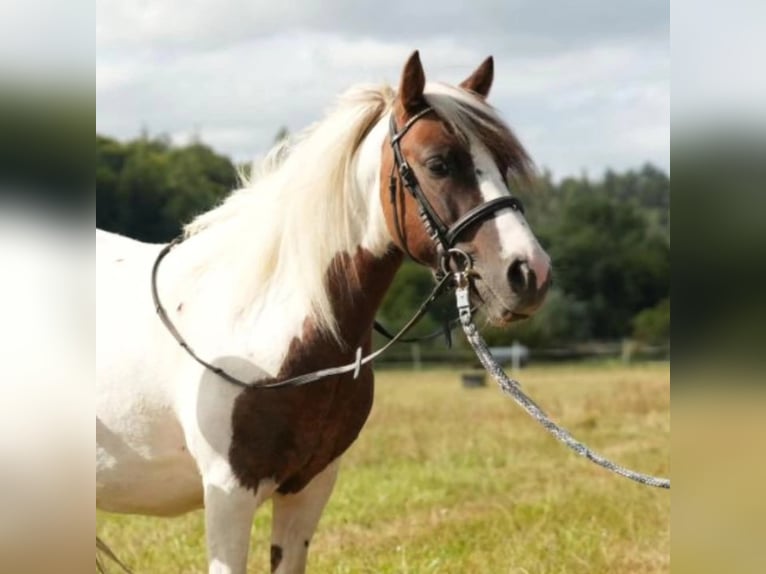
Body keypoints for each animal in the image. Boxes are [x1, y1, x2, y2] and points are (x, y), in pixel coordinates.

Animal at [96, 50, 551, 574]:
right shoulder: (228, 492)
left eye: (502, 164)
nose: (528, 273)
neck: (264, 316)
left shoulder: (309, 487)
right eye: (439, 163)